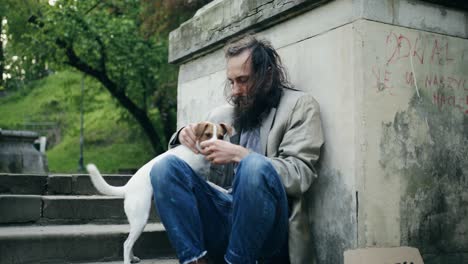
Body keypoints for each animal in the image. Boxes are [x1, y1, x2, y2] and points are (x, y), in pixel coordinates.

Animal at [86, 121, 232, 264]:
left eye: (220, 137)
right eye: (207, 135)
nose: (214, 146)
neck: (198, 153)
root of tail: (127, 188)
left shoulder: (203, 178)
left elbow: (213, 185)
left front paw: (225, 189)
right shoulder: (195, 175)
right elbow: (212, 185)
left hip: (136, 221)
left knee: (129, 241)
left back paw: (133, 258)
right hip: (140, 218)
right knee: (127, 244)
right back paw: (128, 260)